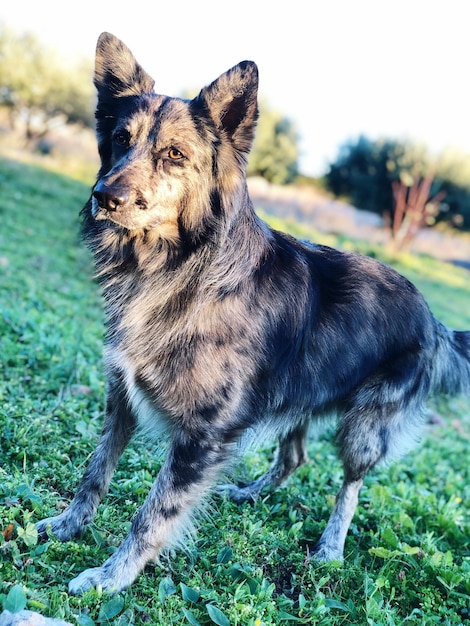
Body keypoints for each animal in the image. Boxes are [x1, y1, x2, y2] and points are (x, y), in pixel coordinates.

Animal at [35, 31, 470, 592]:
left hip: (365, 427)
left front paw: (110, 577)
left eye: (174, 154)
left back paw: (330, 547)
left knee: (351, 484)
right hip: (300, 393)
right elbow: (95, 473)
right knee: (295, 455)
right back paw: (251, 492)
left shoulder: (202, 435)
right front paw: (68, 525)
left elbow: (153, 513)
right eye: (118, 139)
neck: (178, 269)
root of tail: (434, 320)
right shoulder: (121, 399)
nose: (104, 196)